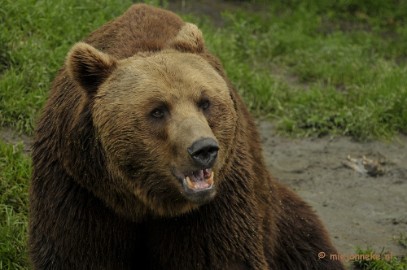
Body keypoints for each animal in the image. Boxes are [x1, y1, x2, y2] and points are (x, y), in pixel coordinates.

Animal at [29, 4, 344, 270]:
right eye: (158, 110)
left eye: (205, 102)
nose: (204, 149)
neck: (146, 204)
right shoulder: (82, 188)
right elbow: (75, 254)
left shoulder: (218, 202)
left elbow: (219, 256)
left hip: (282, 220)